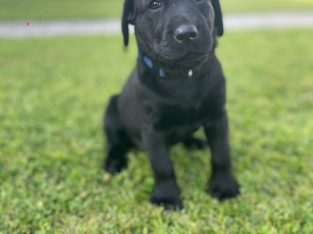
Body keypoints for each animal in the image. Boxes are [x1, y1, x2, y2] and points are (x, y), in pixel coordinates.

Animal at [103, 0, 238, 208]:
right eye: (154, 5)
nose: (187, 33)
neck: (184, 75)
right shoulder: (152, 129)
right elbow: (162, 165)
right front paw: (166, 196)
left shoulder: (217, 115)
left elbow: (221, 153)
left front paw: (224, 186)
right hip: (111, 110)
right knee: (115, 144)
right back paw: (114, 162)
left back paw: (195, 142)